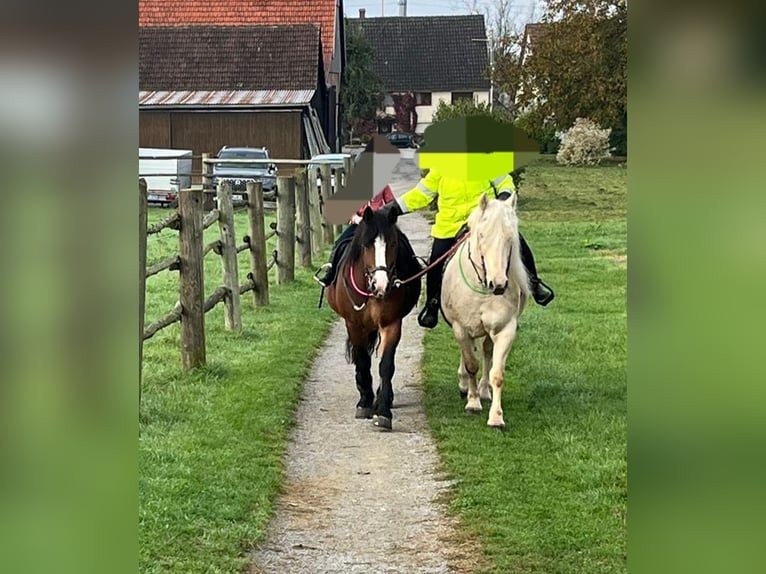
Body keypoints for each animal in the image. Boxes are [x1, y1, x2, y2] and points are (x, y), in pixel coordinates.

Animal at [324, 207, 420, 432]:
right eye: (367, 244)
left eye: (392, 243)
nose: (381, 284)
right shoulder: (354, 325)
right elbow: (362, 360)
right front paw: (364, 402)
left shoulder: (391, 324)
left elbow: (386, 365)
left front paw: (383, 411)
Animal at [440, 194, 532, 432]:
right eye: (482, 235)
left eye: (510, 238)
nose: (498, 284)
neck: (482, 287)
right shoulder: (461, 328)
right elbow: (471, 363)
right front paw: (472, 403)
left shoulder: (505, 330)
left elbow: (497, 373)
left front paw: (496, 418)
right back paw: (466, 386)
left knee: (487, 352)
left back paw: (483, 390)